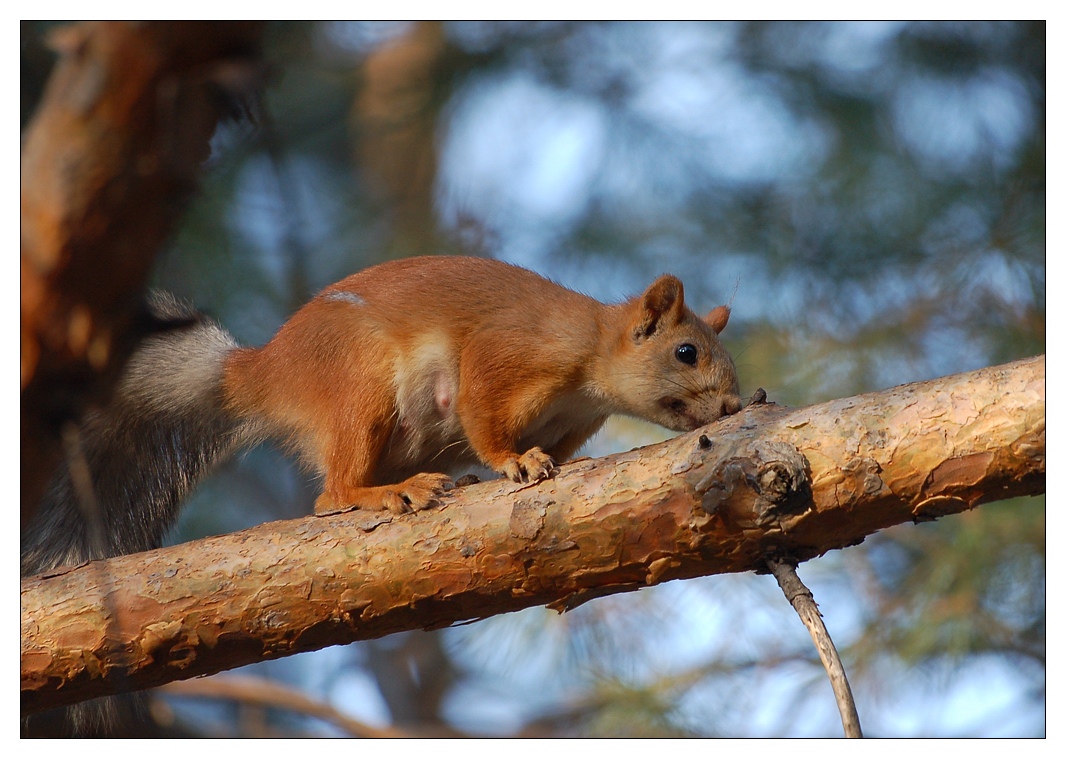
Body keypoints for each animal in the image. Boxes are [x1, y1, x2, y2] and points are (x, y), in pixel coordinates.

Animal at [22, 254, 741, 733]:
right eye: (685, 351)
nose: (737, 404)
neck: (591, 357)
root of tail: (266, 373)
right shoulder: (505, 354)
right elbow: (484, 414)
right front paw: (511, 460)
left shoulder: (573, 422)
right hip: (359, 385)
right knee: (331, 493)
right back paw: (390, 493)